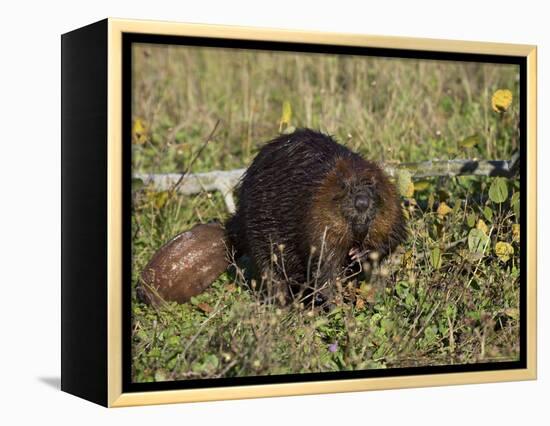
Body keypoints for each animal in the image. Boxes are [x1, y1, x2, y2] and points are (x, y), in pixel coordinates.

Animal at [225, 128, 410, 304]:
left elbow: (393, 236)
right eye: (345, 186)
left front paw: (359, 253)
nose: (362, 202)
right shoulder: (314, 216)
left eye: (373, 185)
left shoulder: (393, 209)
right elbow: (324, 263)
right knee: (271, 273)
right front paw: (336, 303)